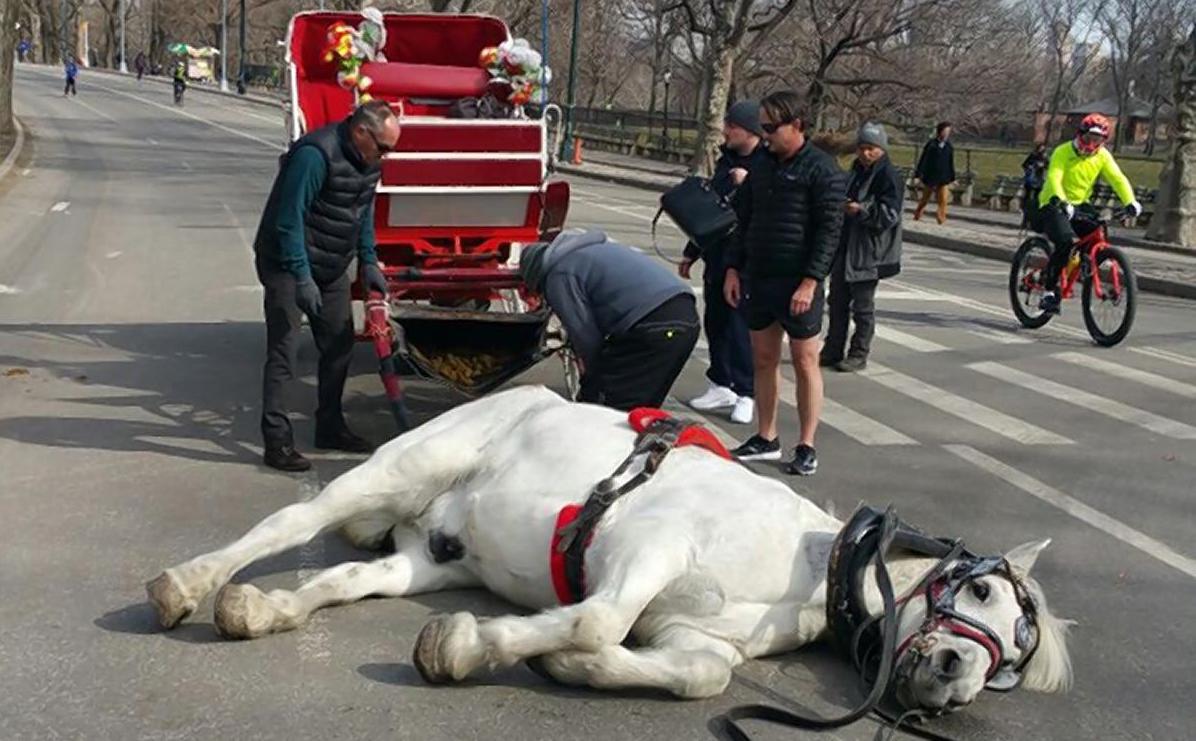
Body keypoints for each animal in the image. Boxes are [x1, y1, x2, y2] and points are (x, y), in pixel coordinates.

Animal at [147, 384, 1076, 707]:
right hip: (400, 470)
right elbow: (596, 617)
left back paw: (261, 607)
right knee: (292, 525)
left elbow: (700, 676)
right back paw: (188, 583)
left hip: (427, 556)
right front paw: (476, 644)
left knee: (340, 577)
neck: (798, 564)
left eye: (1009, 661)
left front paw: (563, 665)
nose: (955, 678)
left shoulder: (694, 637)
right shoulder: (648, 545)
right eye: (982, 590)